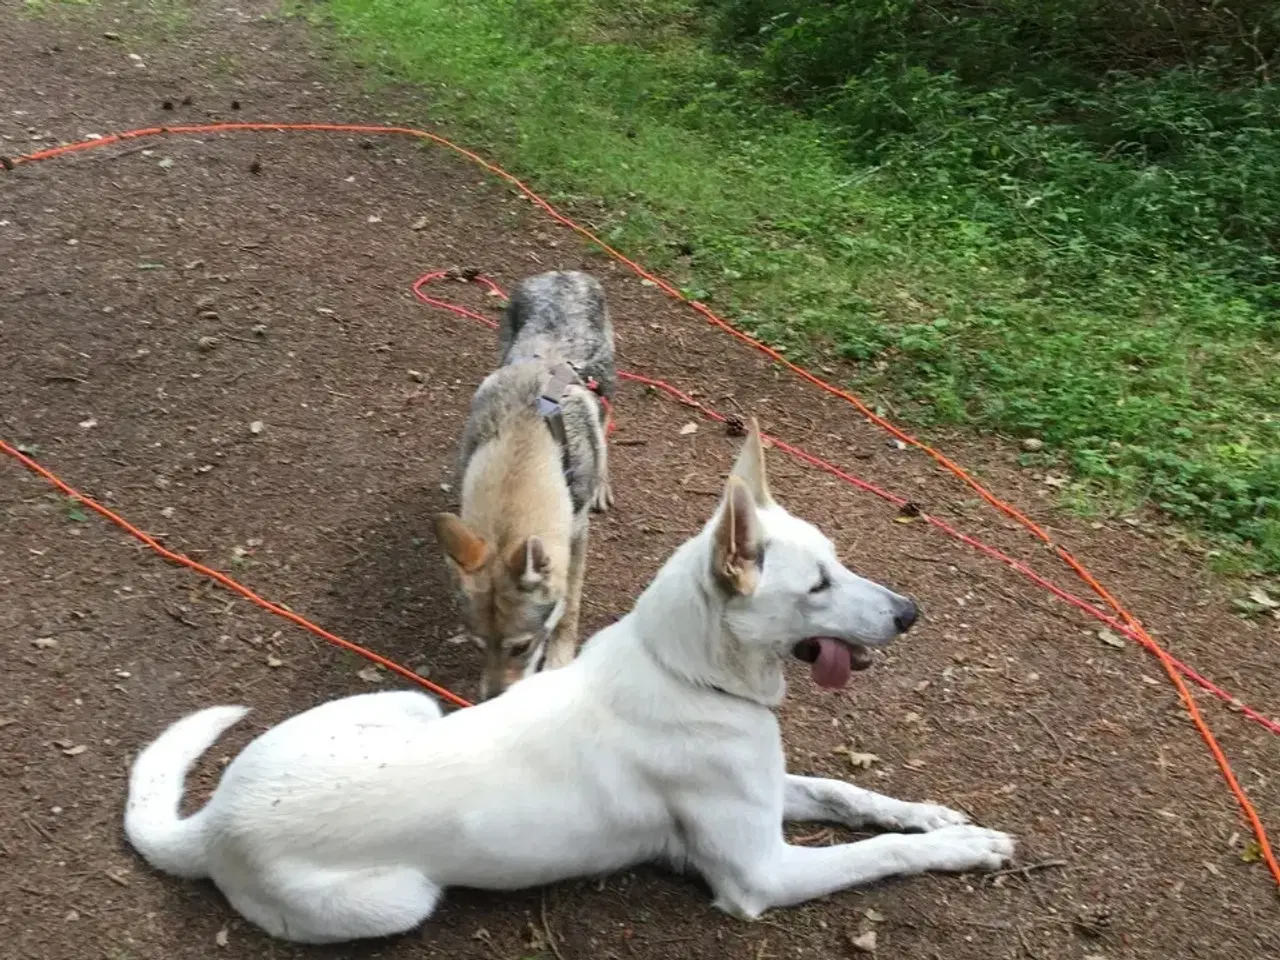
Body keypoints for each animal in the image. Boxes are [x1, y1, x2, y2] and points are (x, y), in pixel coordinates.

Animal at [124, 422, 1013, 947]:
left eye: (839, 561)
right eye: (819, 584)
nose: (909, 613)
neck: (689, 673)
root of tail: (212, 822)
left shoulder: (771, 795)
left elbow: (846, 794)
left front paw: (936, 815)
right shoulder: (760, 873)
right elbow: (878, 854)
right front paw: (961, 848)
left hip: (410, 703)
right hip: (402, 898)